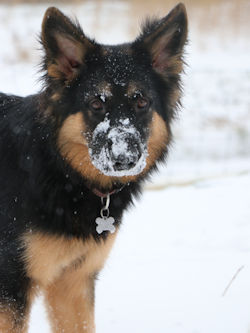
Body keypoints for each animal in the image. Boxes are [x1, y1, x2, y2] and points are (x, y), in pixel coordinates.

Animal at [0, 3, 188, 332]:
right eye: (96, 104)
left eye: (141, 103)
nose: (124, 159)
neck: (60, 170)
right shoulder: (12, 287)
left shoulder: (73, 284)